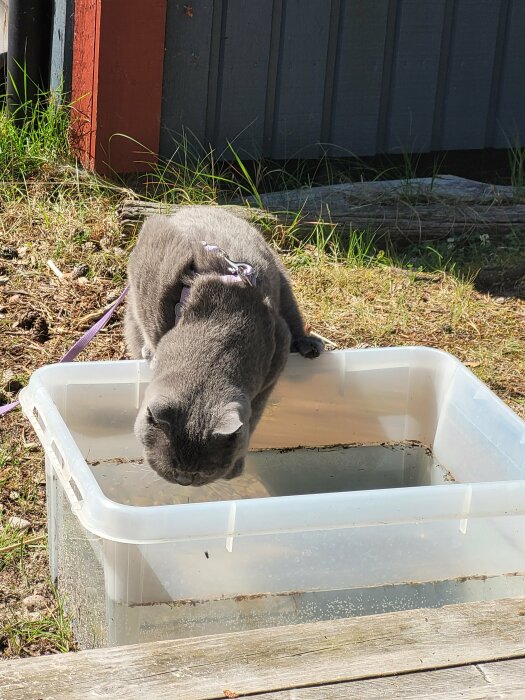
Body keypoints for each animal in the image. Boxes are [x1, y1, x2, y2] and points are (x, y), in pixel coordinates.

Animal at [126, 205, 324, 484]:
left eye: (201, 473)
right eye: (174, 469)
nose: (185, 481)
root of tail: (202, 206)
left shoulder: (278, 346)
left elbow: (256, 413)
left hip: (281, 279)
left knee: (294, 314)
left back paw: (310, 345)